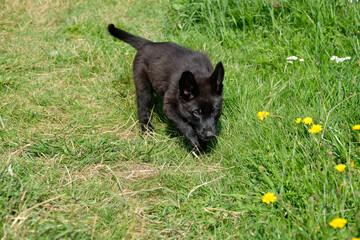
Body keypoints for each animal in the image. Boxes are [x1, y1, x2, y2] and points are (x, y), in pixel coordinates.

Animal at [107, 24, 225, 152]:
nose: (209, 135)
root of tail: (148, 44)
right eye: (196, 113)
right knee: (142, 108)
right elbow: (185, 125)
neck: (197, 73)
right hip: (143, 85)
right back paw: (147, 130)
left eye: (215, 111)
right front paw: (195, 142)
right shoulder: (169, 107)